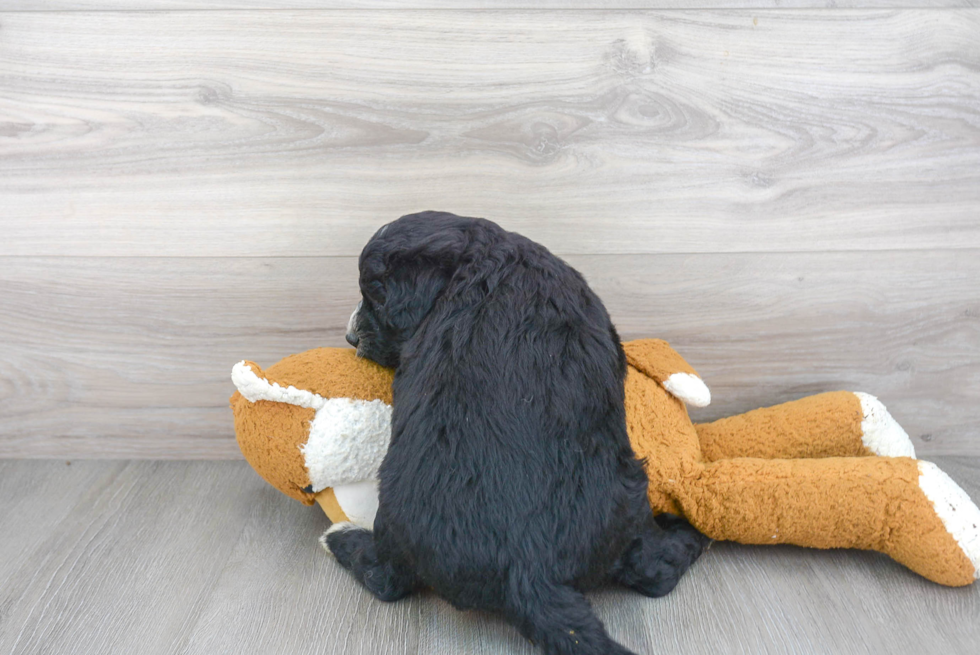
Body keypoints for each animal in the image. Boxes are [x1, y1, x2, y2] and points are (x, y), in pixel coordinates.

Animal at [328, 213, 704, 652]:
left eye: (376, 298)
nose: (351, 338)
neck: (485, 258)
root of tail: (527, 573)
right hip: (627, 500)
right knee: (654, 571)